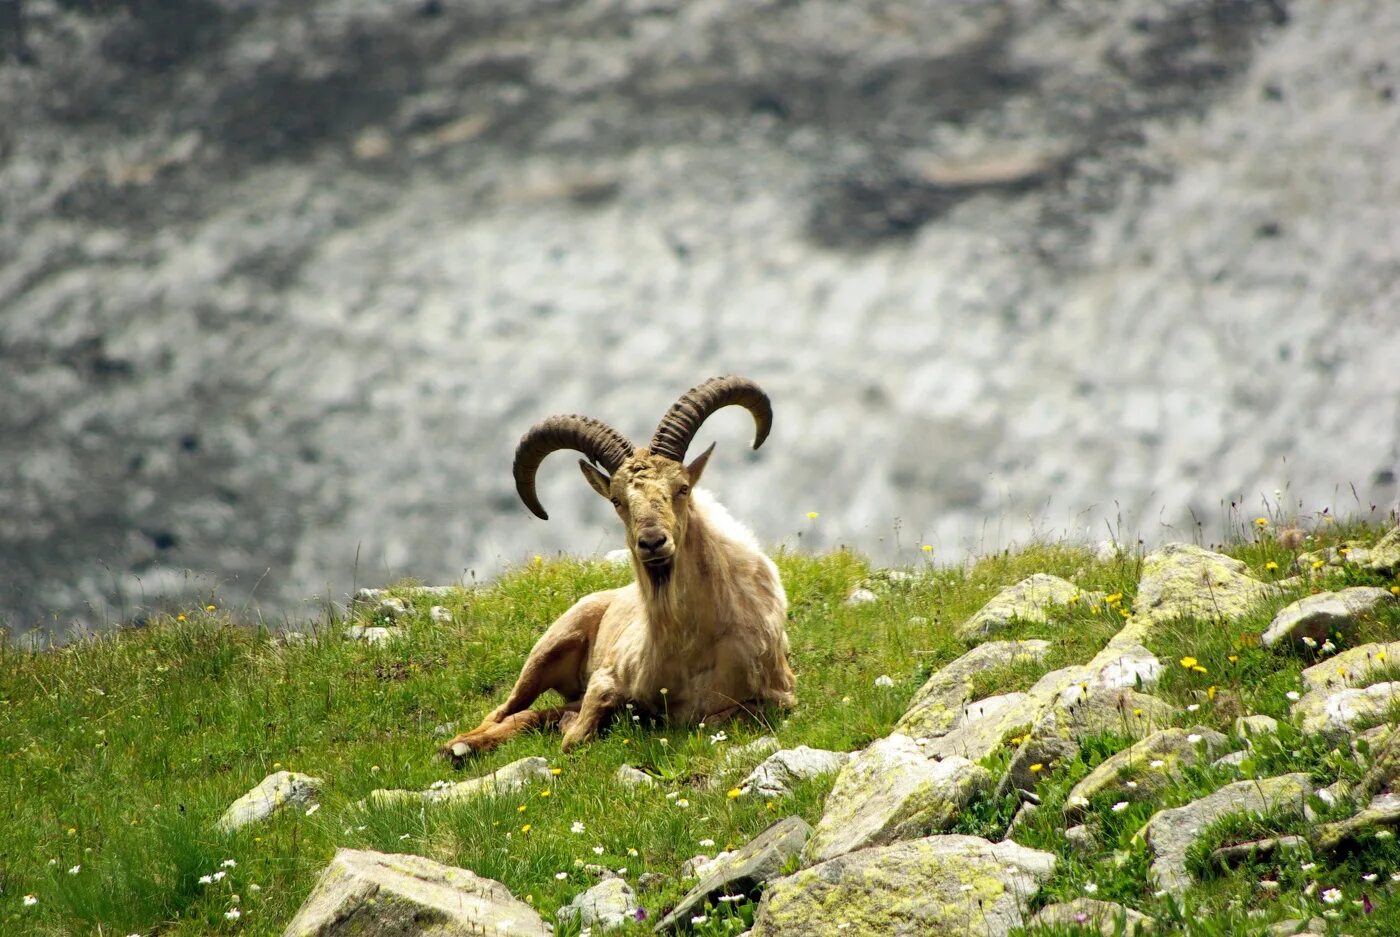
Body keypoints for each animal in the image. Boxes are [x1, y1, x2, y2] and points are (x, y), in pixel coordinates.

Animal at [448, 375, 800, 756]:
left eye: (683, 488)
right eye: (617, 500)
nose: (652, 542)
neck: (690, 647)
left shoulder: (779, 694)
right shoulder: (608, 675)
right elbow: (577, 734)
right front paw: (578, 727)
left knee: (529, 713)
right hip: (549, 647)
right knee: (506, 710)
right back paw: (456, 747)